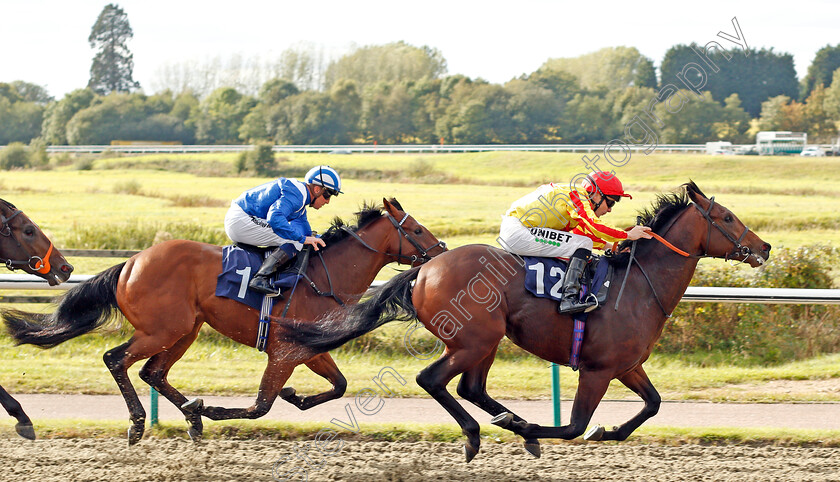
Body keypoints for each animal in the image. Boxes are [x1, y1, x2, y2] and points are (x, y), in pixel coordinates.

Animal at [284, 183, 776, 462]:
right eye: (727, 217)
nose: (765, 247)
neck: (638, 283)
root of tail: (426, 269)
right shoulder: (598, 369)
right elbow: (575, 425)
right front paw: (550, 431)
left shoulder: (628, 365)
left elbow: (653, 404)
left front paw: (609, 431)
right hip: (474, 338)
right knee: (434, 380)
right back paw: (478, 436)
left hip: (487, 340)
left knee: (471, 388)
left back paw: (504, 422)